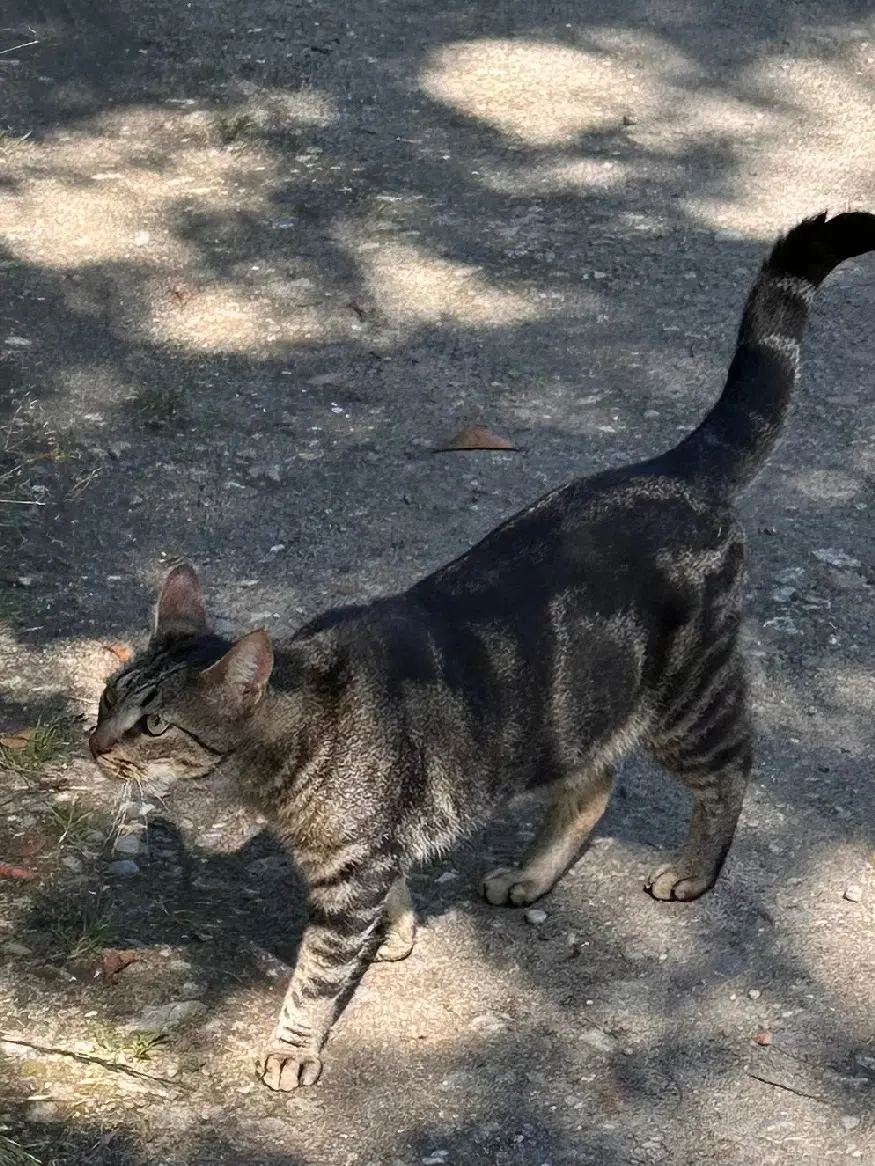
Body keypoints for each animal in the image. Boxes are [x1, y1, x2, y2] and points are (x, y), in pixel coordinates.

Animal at [89, 212, 875, 1091]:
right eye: (108, 700)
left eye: (155, 724)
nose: (93, 743)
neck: (278, 767)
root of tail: (672, 467)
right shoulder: (374, 851)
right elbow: (394, 892)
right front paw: (396, 933)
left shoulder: (350, 872)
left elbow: (316, 973)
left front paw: (293, 1044)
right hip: (573, 712)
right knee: (593, 784)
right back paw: (531, 873)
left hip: (685, 702)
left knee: (731, 770)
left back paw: (694, 870)